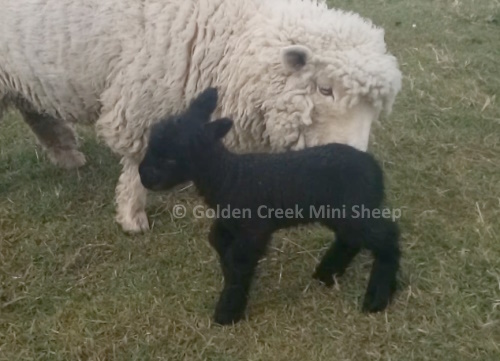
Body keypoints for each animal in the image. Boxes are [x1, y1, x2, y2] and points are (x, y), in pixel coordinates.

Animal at [0, 0, 402, 231]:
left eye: (374, 109)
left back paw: (67, 153)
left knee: (34, 110)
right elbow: (135, 162)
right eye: (324, 89)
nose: (354, 166)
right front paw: (132, 216)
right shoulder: (141, 99)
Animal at [139, 86, 400, 324]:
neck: (228, 177)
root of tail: (375, 169)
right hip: (340, 213)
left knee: (387, 235)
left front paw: (228, 310)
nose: (143, 176)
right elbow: (219, 244)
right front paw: (233, 284)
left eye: (170, 159)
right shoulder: (230, 223)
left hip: (355, 209)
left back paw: (377, 297)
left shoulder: (255, 229)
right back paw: (326, 274)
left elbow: (239, 259)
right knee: (351, 238)